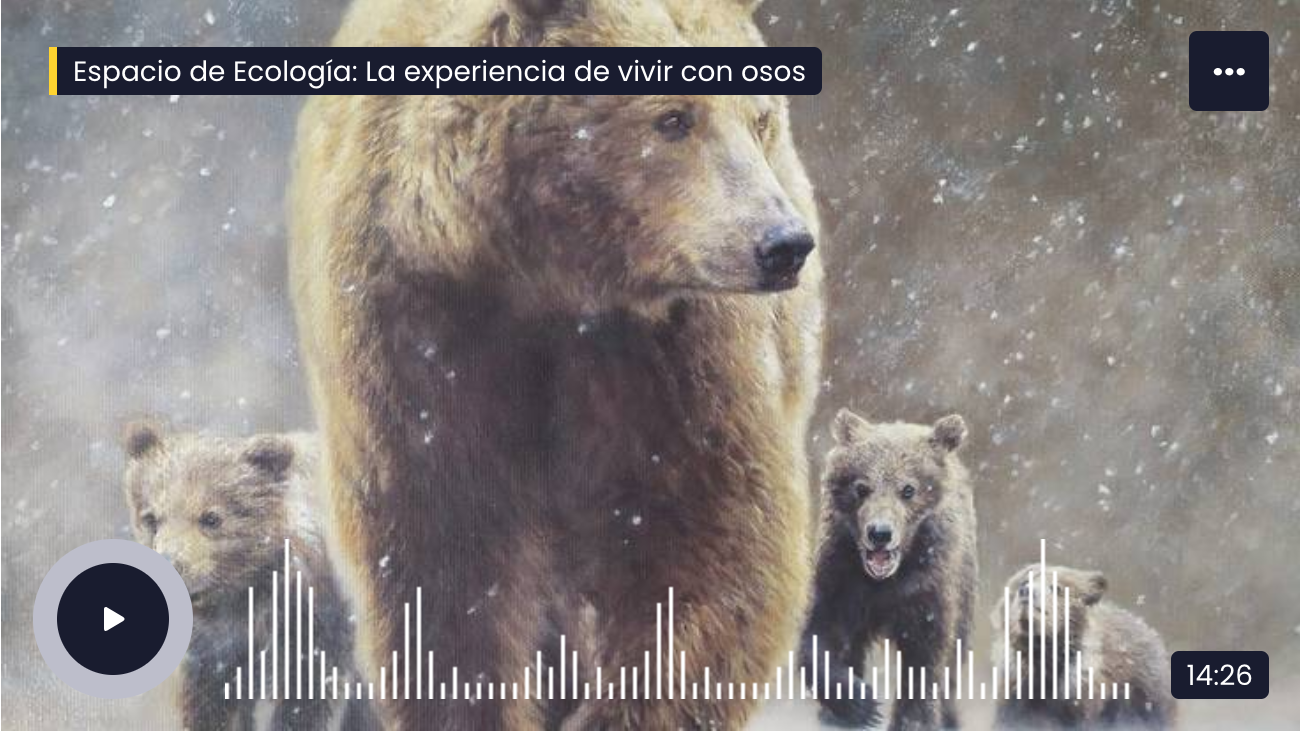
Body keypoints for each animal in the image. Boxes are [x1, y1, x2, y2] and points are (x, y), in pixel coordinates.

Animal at [120, 422, 369, 731]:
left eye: (211, 518)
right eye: (151, 518)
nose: (171, 564)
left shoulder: (313, 624)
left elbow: (308, 699)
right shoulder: (212, 650)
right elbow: (209, 705)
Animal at [287, 0, 824, 728]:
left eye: (761, 119)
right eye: (674, 118)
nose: (783, 244)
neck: (550, 282)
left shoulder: (678, 359)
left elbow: (713, 544)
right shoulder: (416, 339)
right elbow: (448, 572)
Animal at [800, 408, 975, 731]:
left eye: (908, 489)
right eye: (861, 487)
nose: (880, 533)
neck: (887, 580)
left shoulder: (927, 590)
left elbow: (925, 662)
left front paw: (911, 720)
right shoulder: (840, 575)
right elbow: (821, 633)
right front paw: (859, 705)